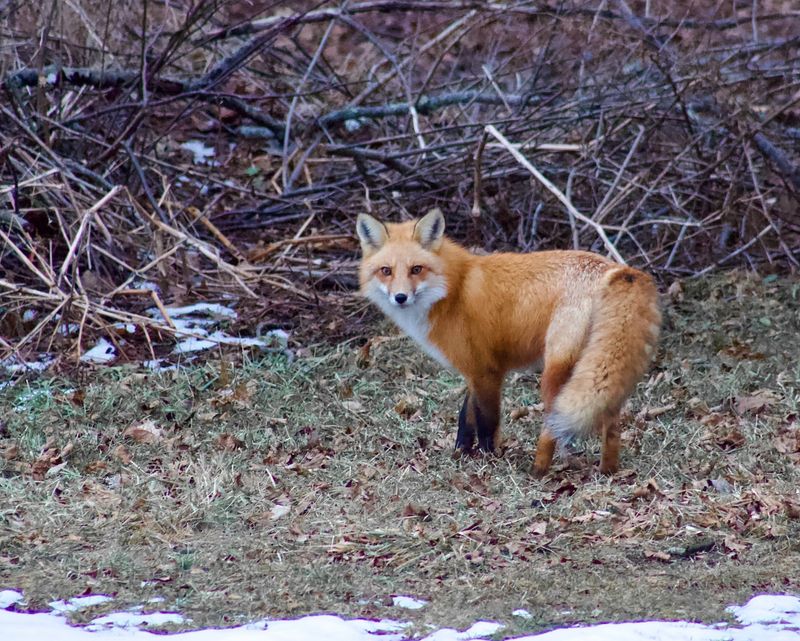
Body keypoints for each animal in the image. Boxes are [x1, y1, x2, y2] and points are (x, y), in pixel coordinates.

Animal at [358, 208, 664, 472]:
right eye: (386, 271)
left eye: (416, 269)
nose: (400, 297)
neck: (453, 289)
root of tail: (613, 268)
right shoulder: (475, 369)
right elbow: (466, 418)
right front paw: (461, 454)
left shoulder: (487, 371)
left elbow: (487, 422)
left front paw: (489, 459)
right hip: (599, 369)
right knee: (612, 424)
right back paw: (608, 471)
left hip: (555, 373)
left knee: (552, 426)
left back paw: (538, 471)